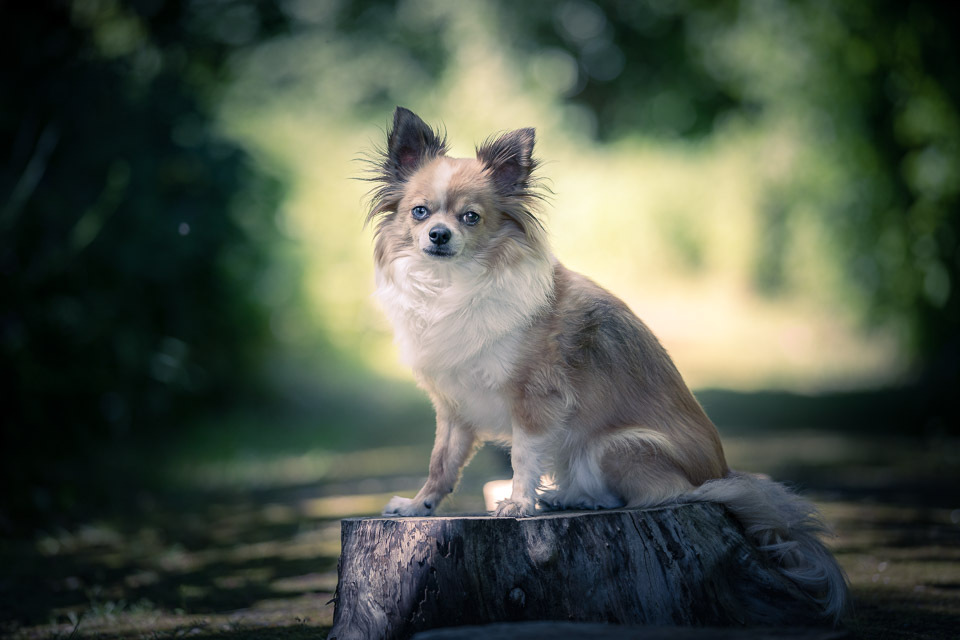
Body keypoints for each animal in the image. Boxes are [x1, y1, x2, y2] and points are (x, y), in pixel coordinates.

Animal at [364, 107, 844, 624]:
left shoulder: (535, 400)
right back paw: (561, 495)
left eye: (470, 218)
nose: (439, 235)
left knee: (653, 495)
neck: (451, 284)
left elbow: (523, 456)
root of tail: (719, 474)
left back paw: (569, 496)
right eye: (420, 212)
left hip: (615, 447)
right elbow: (442, 464)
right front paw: (419, 506)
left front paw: (518, 504)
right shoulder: (454, 409)